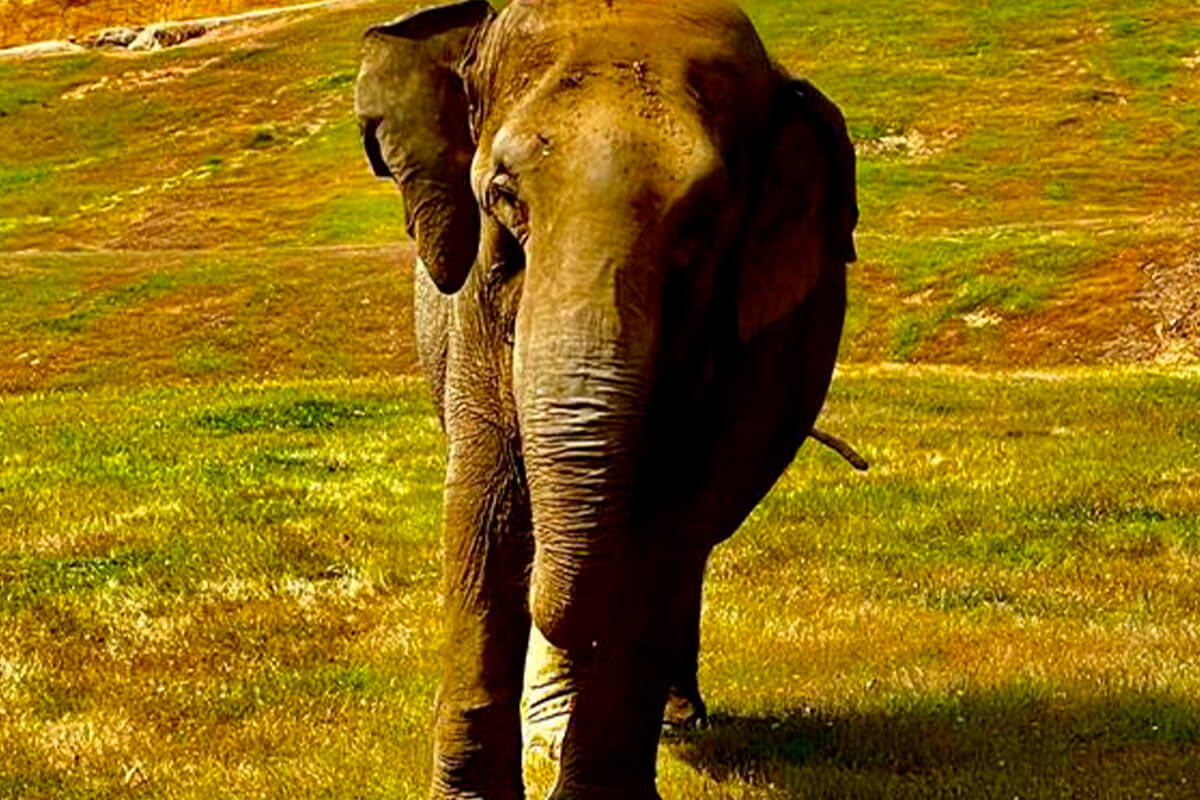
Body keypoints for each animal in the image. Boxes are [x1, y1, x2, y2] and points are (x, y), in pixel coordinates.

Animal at [350, 1, 859, 800]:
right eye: (504, 197)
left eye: (702, 222)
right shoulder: (474, 318)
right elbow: (486, 508)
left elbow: (663, 520)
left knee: (688, 551)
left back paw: (673, 714)